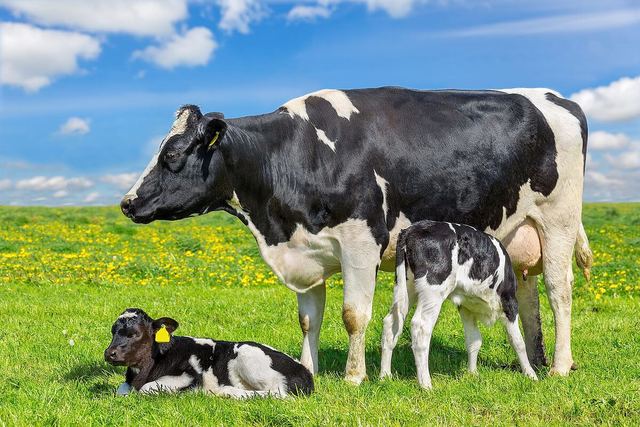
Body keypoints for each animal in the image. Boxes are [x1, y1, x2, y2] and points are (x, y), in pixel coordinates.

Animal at [380, 220, 538, 388]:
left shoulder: (466, 307)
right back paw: (426, 385)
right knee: (420, 327)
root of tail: (412, 229)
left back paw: (385, 376)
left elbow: (474, 340)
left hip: (405, 286)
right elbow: (518, 341)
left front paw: (473, 374)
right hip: (433, 290)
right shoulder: (510, 302)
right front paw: (531, 375)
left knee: (391, 323)